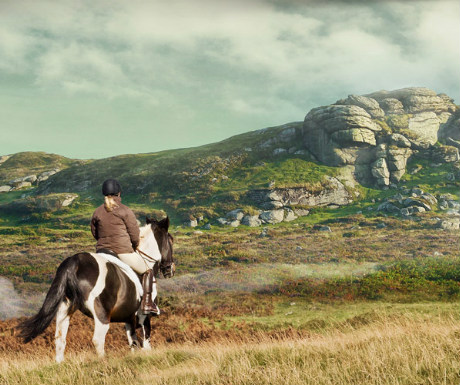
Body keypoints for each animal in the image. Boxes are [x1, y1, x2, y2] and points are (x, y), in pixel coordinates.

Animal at [18, 218, 174, 362]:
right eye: (171, 240)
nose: (170, 270)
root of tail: (74, 262)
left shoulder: (129, 319)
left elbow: (133, 344)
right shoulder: (143, 317)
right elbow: (146, 344)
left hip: (65, 308)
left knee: (60, 338)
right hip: (101, 314)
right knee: (98, 339)